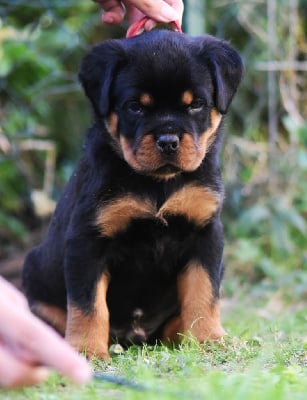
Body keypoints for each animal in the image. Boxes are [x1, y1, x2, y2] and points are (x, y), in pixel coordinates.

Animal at [21, 29, 244, 358]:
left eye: (196, 104)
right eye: (135, 106)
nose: (168, 140)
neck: (158, 182)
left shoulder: (205, 232)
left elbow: (204, 292)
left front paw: (209, 339)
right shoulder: (88, 239)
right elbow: (88, 305)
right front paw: (87, 350)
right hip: (34, 272)